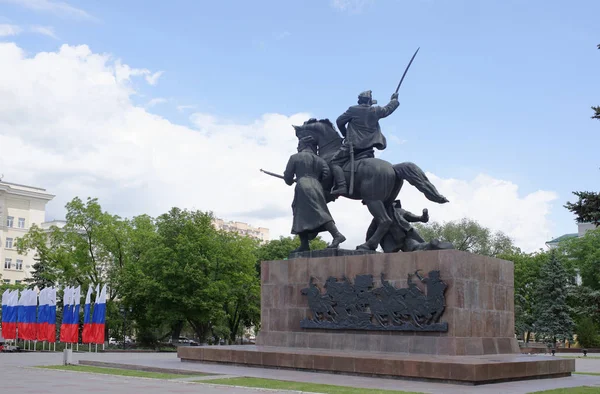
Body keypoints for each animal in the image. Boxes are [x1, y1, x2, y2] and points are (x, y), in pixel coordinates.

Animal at [292, 118, 448, 251]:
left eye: (299, 136)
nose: (299, 148)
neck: (330, 152)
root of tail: (393, 168)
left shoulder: (327, 191)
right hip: (385, 201)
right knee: (389, 221)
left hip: (373, 200)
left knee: (385, 221)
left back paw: (366, 246)